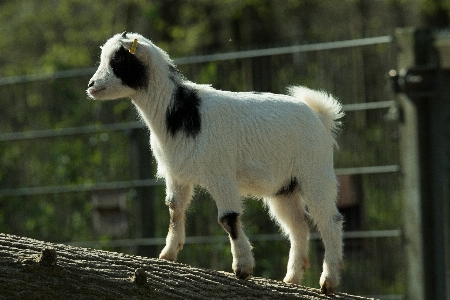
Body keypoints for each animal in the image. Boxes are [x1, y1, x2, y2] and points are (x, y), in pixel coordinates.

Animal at [87, 31, 344, 294]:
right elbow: (175, 209)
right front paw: (168, 254)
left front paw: (242, 268)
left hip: (315, 173)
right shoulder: (176, 175)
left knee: (330, 221)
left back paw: (328, 282)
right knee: (298, 225)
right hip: (284, 187)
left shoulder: (220, 174)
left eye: (118, 59)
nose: (91, 86)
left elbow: (228, 218)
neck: (181, 112)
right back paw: (291, 279)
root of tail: (320, 116)